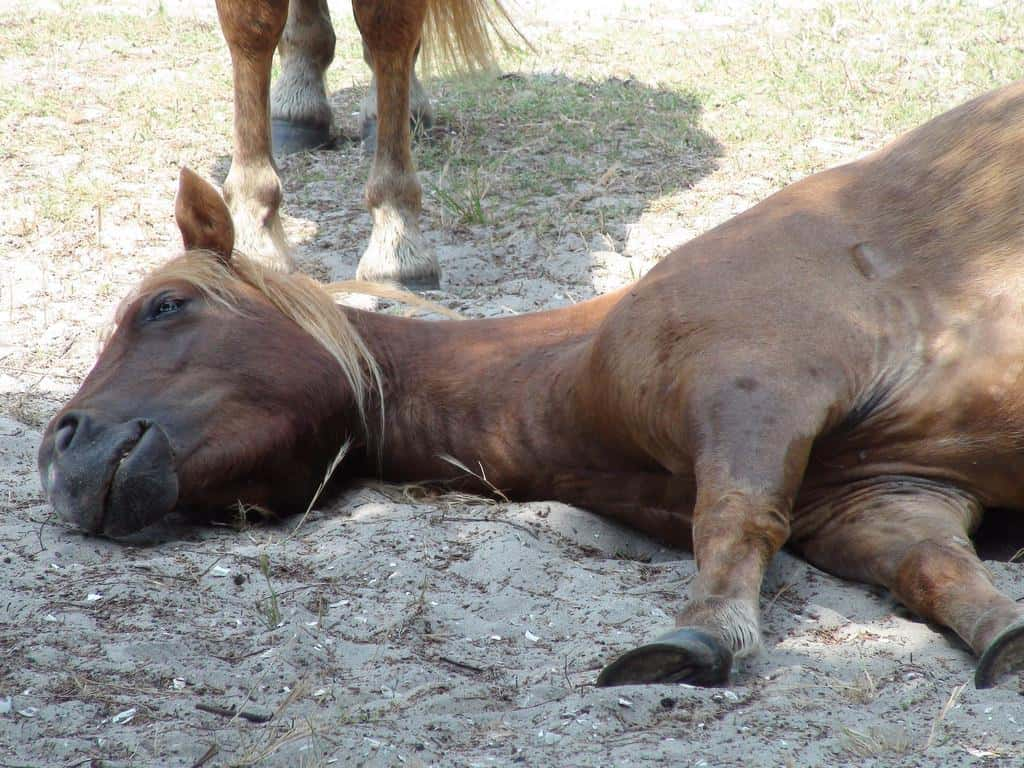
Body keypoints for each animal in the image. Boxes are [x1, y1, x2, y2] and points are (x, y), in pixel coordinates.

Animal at [41, 82, 1024, 692]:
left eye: (164, 307)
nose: (61, 446)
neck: (572, 367)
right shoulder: (888, 498)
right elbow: (936, 571)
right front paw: (1005, 637)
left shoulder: (752, 391)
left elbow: (735, 520)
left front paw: (698, 637)